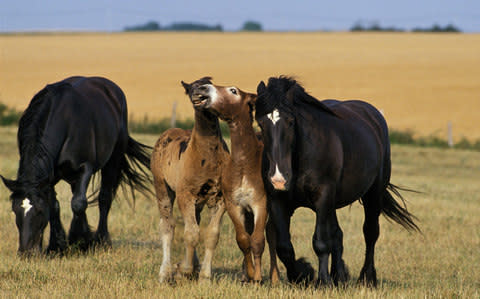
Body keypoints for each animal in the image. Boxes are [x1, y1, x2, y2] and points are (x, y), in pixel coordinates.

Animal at [0, 75, 151, 255]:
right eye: (14, 209)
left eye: (39, 211)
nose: (26, 253)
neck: (63, 121)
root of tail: (113, 90)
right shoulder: (49, 177)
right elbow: (56, 206)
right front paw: (57, 246)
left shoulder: (85, 168)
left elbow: (78, 203)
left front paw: (79, 241)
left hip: (113, 159)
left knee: (104, 198)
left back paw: (102, 240)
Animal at [152, 78, 231, 284]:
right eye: (190, 90)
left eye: (209, 85)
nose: (198, 94)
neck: (208, 155)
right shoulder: (184, 195)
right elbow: (191, 233)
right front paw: (184, 270)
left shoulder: (220, 198)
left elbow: (211, 235)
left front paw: (204, 276)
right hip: (162, 188)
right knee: (168, 226)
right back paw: (165, 273)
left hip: (198, 202)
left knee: (194, 221)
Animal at [255, 77, 420, 288]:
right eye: (261, 124)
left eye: (291, 122)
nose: (278, 178)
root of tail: (374, 116)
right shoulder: (277, 199)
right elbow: (284, 246)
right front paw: (302, 274)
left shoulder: (323, 196)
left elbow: (320, 241)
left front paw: (322, 281)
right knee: (337, 234)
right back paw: (339, 275)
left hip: (373, 194)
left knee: (370, 232)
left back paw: (367, 278)